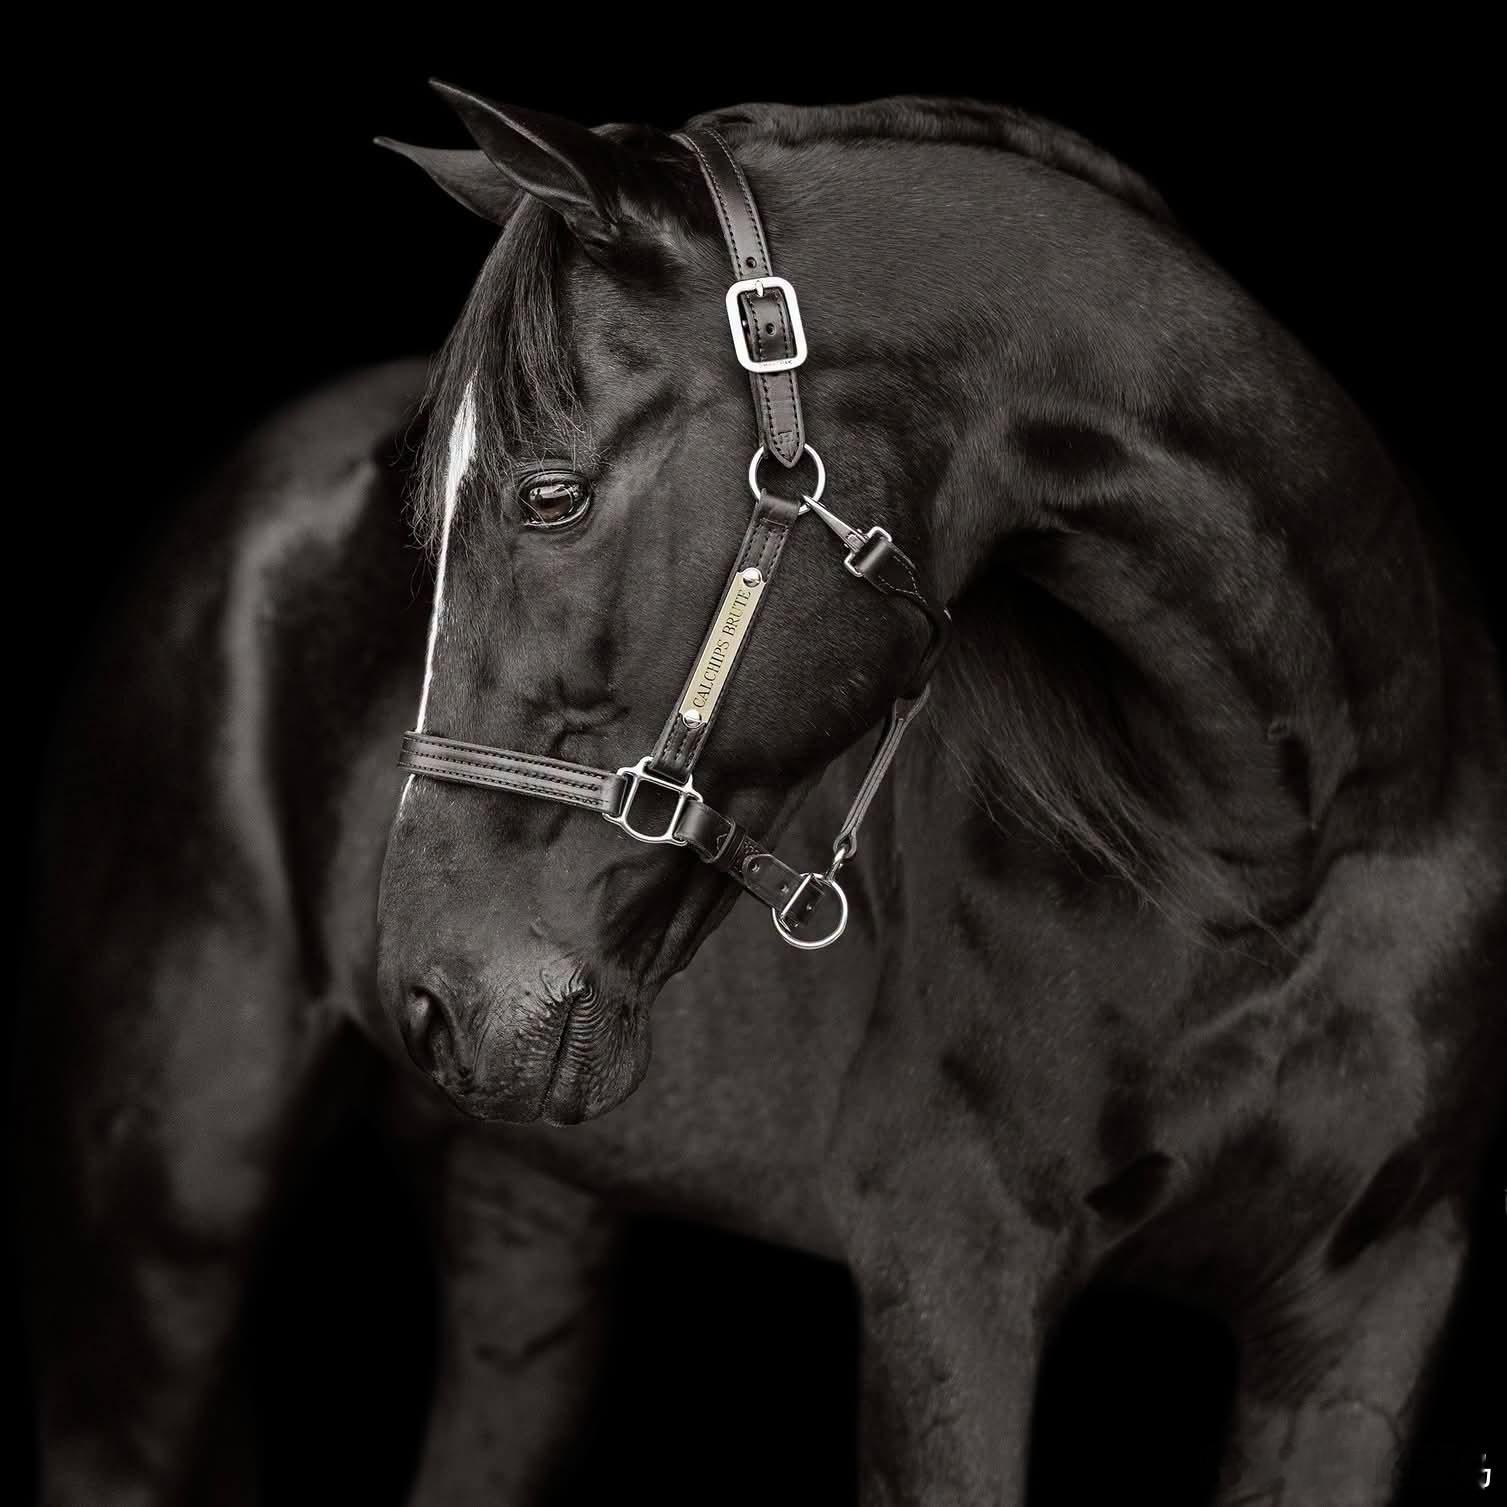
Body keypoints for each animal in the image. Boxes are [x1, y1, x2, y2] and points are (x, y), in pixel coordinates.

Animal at [22, 86, 1506, 1506]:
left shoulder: (1368, 1311)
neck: (1275, 843)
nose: (430, 995)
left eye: (547, 494)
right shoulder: (947, 1270)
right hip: (174, 1221)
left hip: (527, 1233)